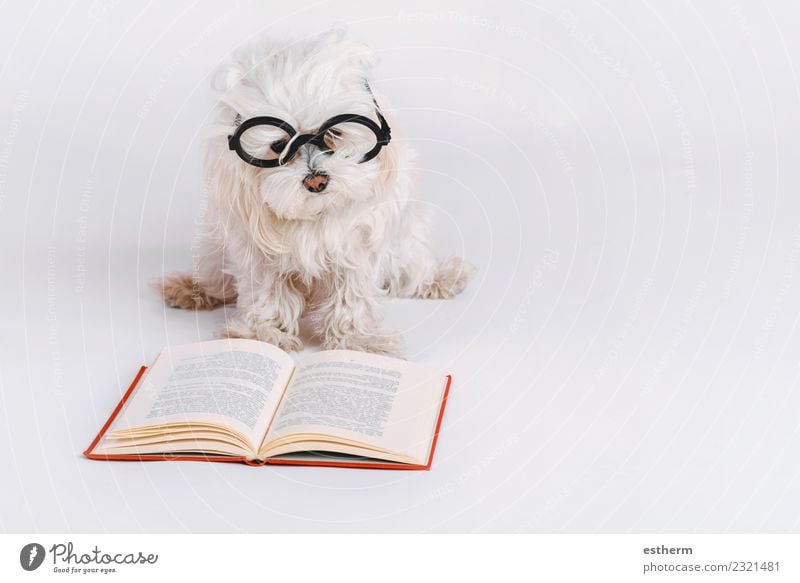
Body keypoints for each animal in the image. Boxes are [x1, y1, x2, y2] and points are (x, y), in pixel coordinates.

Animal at [159, 32, 478, 356]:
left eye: (334, 134)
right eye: (278, 146)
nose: (316, 181)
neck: (316, 215)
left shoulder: (359, 245)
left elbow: (353, 295)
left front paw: (358, 340)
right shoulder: (257, 250)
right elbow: (267, 292)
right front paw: (264, 335)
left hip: (409, 240)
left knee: (412, 271)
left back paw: (441, 278)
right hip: (213, 248)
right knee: (215, 278)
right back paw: (190, 289)